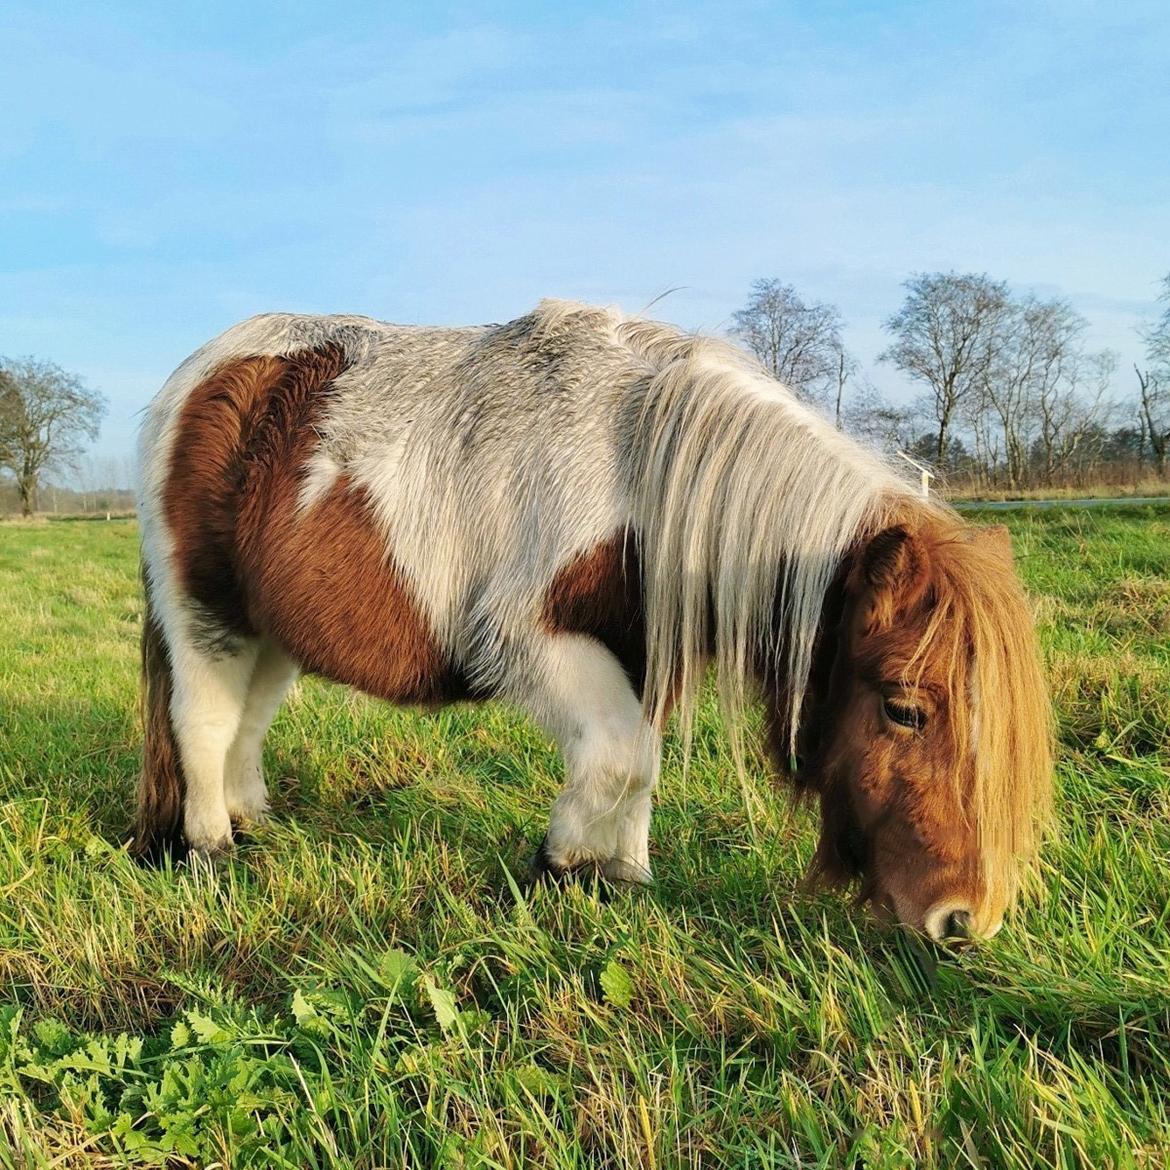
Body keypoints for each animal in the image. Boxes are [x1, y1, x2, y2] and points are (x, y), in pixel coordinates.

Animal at [134, 299, 1053, 940]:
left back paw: (255, 822)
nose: (963, 919)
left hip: (272, 634)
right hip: (205, 614)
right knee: (202, 722)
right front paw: (560, 863)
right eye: (905, 709)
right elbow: (616, 758)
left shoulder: (642, 656)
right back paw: (211, 848)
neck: (639, 467)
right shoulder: (523, 641)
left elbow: (642, 765)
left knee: (246, 726)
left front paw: (625, 874)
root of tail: (199, 375)